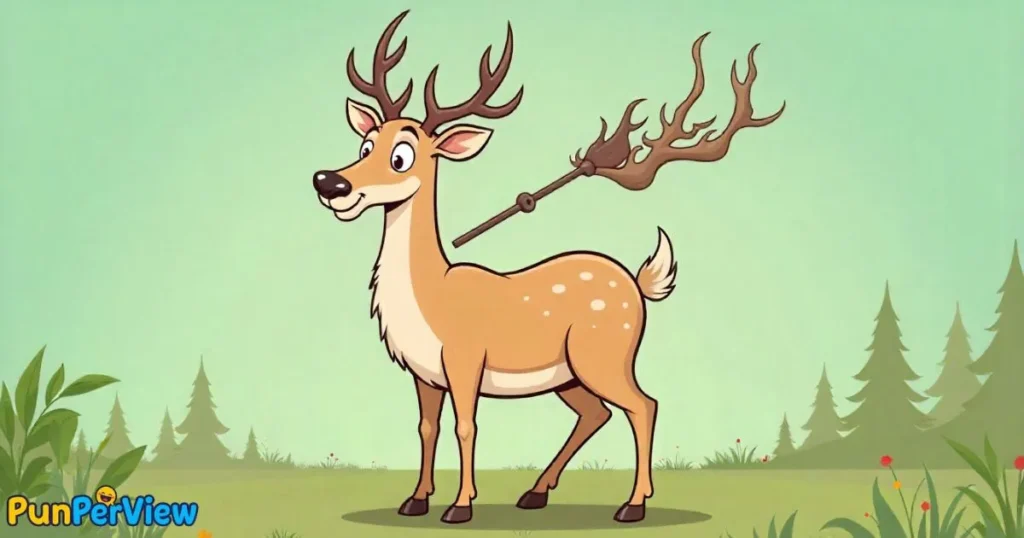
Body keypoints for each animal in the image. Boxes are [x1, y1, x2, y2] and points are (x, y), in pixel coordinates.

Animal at [312, 10, 783, 525]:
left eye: (402, 155)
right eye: (364, 144)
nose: (329, 182)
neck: (431, 296)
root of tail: (638, 285)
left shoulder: (465, 358)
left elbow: (466, 426)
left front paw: (459, 506)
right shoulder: (423, 372)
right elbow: (426, 427)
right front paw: (415, 500)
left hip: (605, 353)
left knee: (644, 405)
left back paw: (632, 504)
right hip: (569, 374)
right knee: (597, 413)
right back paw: (535, 492)